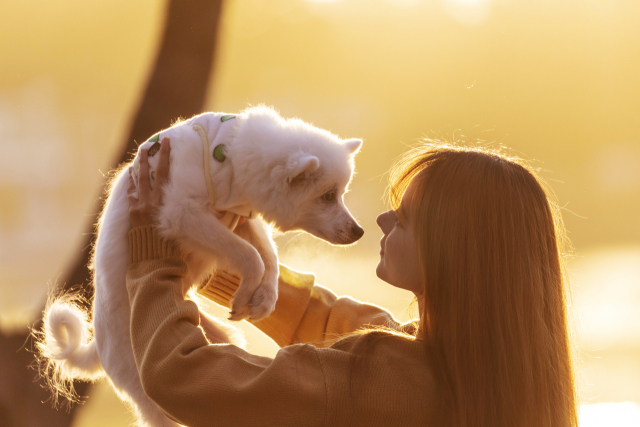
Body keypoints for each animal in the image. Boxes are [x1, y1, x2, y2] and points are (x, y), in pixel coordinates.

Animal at [37, 105, 362, 426]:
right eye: (327, 196)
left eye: (341, 194)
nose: (359, 231)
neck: (230, 155)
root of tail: (99, 342)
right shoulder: (183, 214)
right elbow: (251, 256)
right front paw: (248, 295)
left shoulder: (243, 220)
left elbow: (268, 256)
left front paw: (264, 299)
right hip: (147, 390)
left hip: (221, 340)